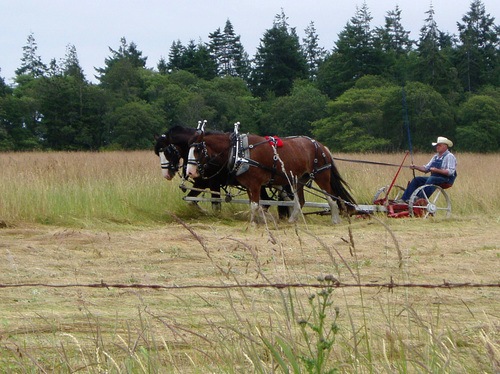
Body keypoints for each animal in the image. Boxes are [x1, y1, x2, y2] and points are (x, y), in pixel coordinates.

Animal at [187, 129, 356, 222]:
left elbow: (255, 205)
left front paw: (253, 223)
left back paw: (335, 219)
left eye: (198, 150)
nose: (190, 172)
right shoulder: (250, 186)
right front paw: (262, 220)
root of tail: (321, 146)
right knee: (300, 201)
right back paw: (291, 220)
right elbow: (258, 205)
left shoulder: (255, 184)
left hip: (321, 175)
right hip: (298, 179)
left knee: (331, 198)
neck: (239, 150)